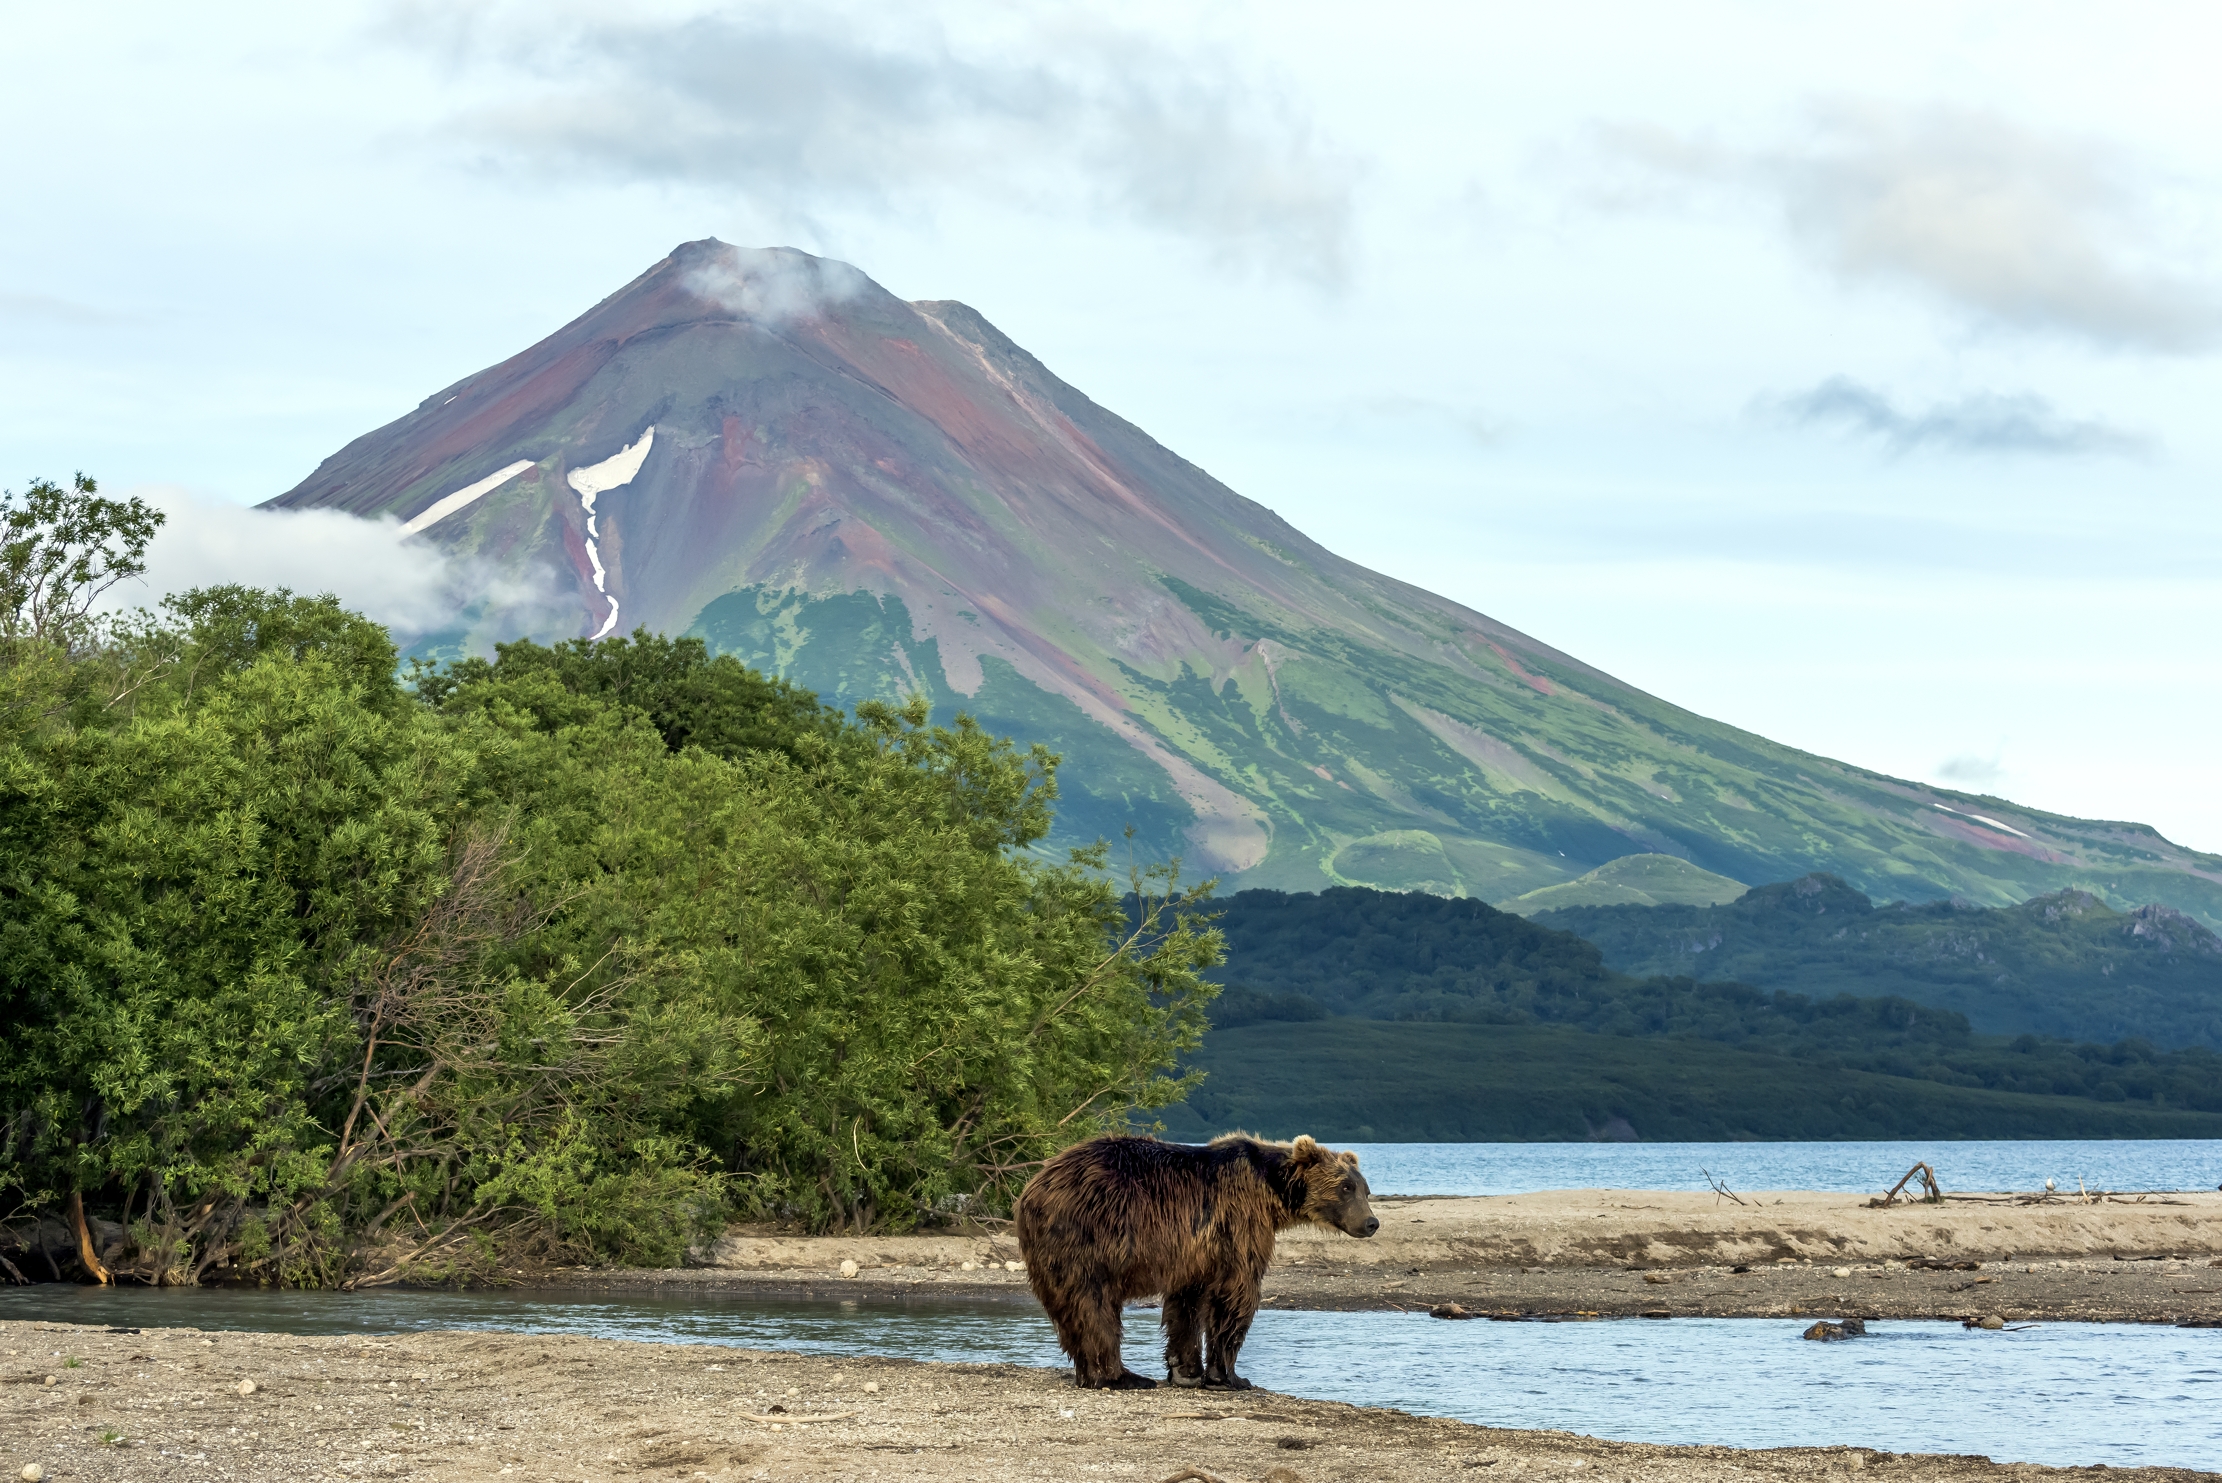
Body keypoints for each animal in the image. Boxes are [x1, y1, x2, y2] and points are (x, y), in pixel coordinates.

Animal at [1013, 1132, 1378, 1390]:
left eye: (1365, 1189)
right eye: (1345, 1187)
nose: (1371, 1223)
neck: (1272, 1192)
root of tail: (1033, 1188)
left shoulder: (1193, 1252)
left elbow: (1186, 1305)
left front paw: (1185, 1371)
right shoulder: (1239, 1223)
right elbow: (1235, 1296)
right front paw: (1231, 1377)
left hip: (1054, 1252)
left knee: (1071, 1311)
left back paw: (1090, 1374)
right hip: (1089, 1235)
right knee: (1094, 1305)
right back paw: (1121, 1376)